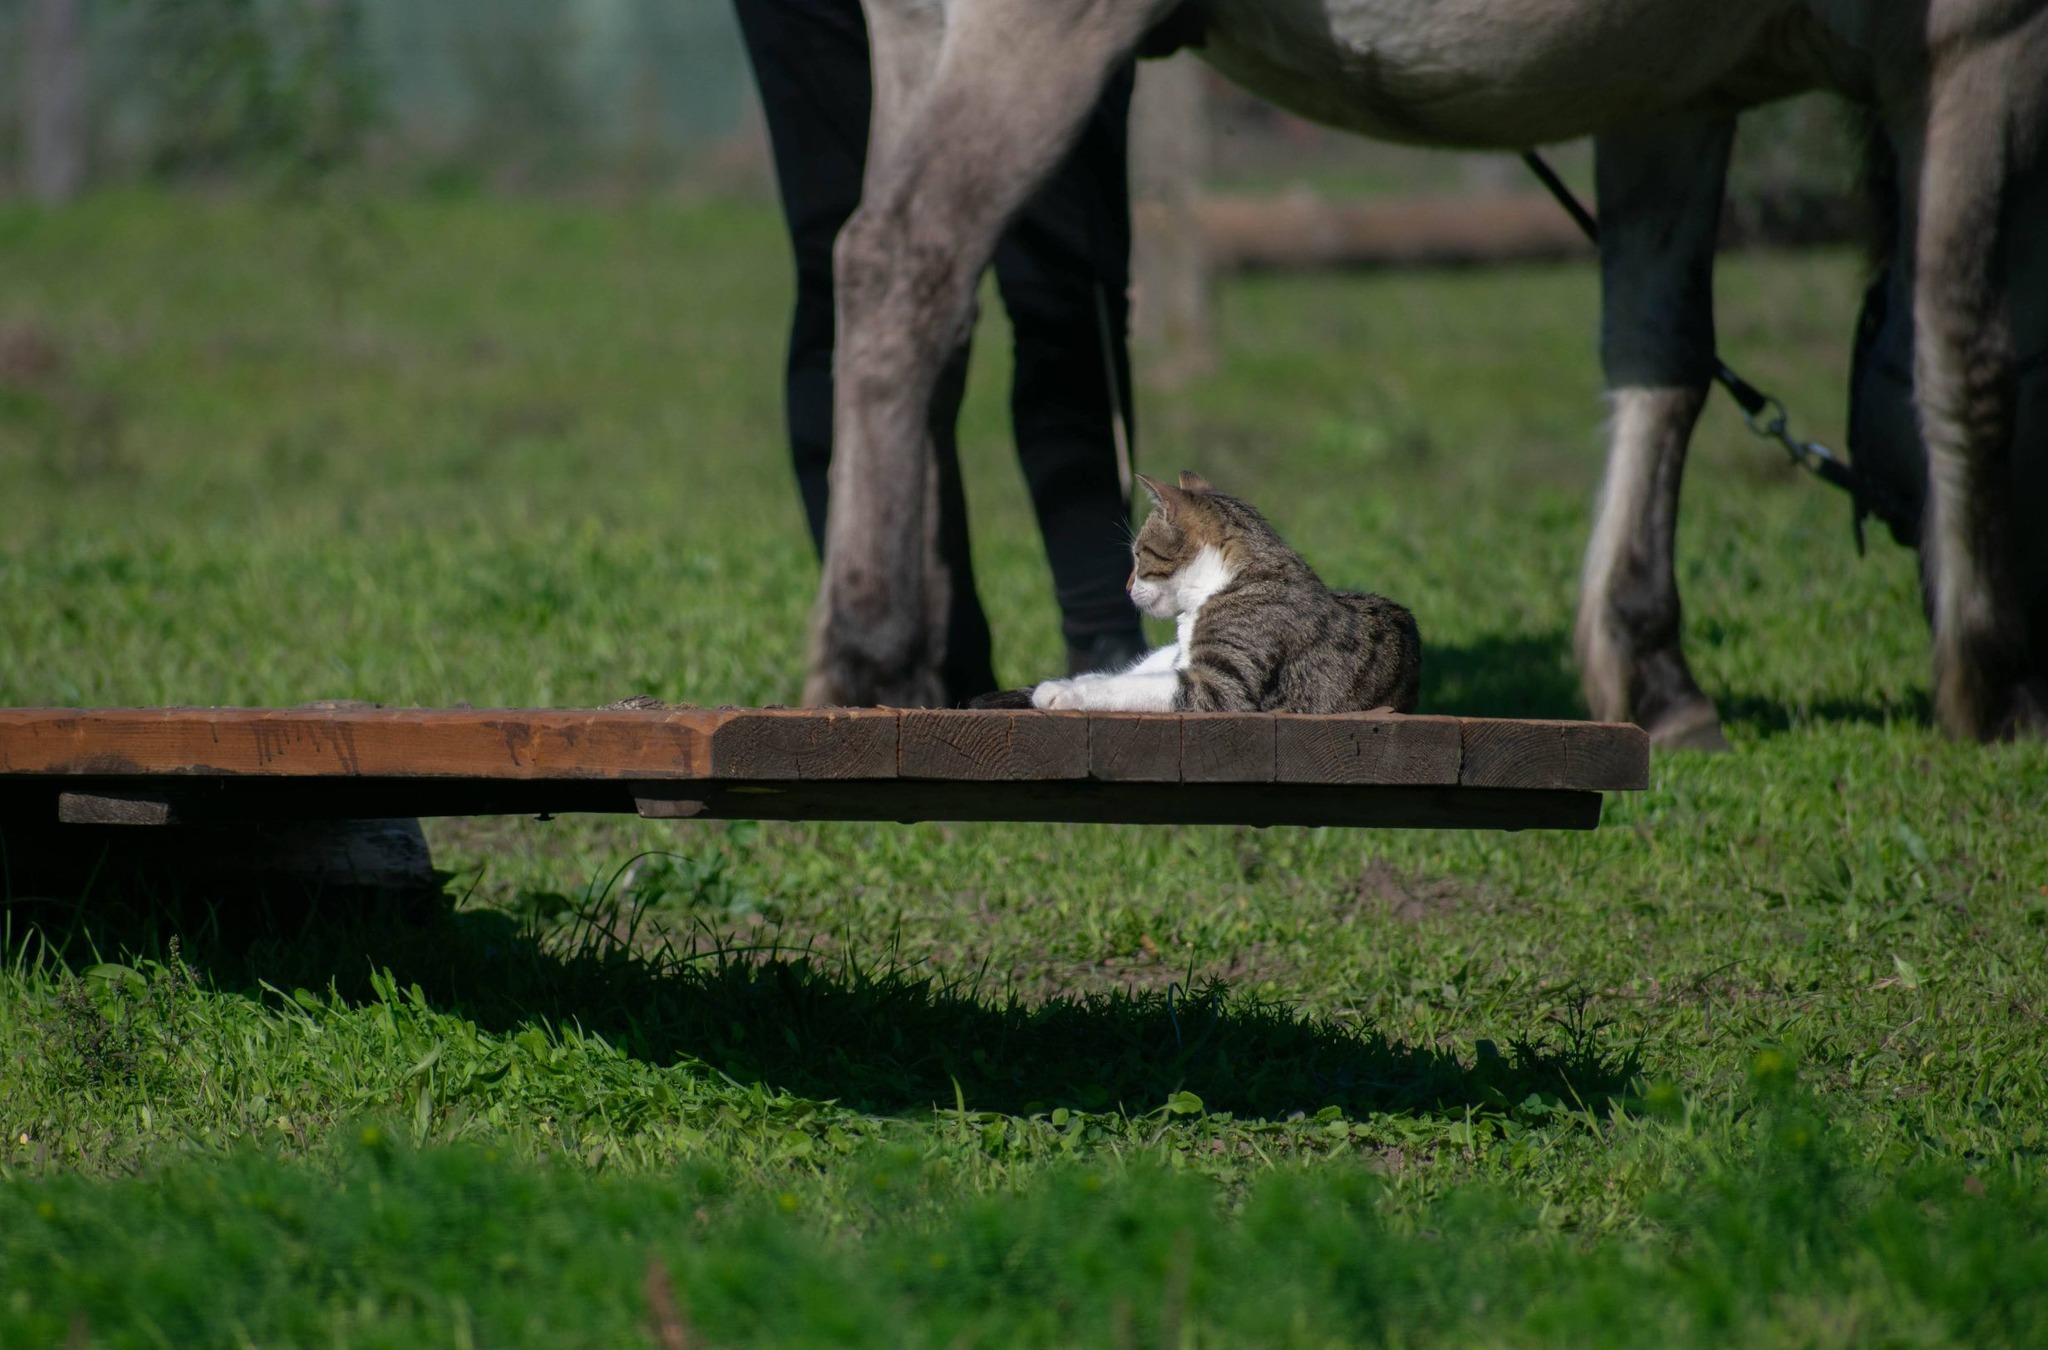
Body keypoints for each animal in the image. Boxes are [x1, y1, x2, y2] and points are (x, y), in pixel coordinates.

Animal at [1024, 469, 1425, 712]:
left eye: (1138, 555)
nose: (1125, 586)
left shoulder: (1222, 685)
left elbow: (1133, 688)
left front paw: (1064, 692)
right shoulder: (1185, 662)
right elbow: (1128, 678)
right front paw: (1070, 682)